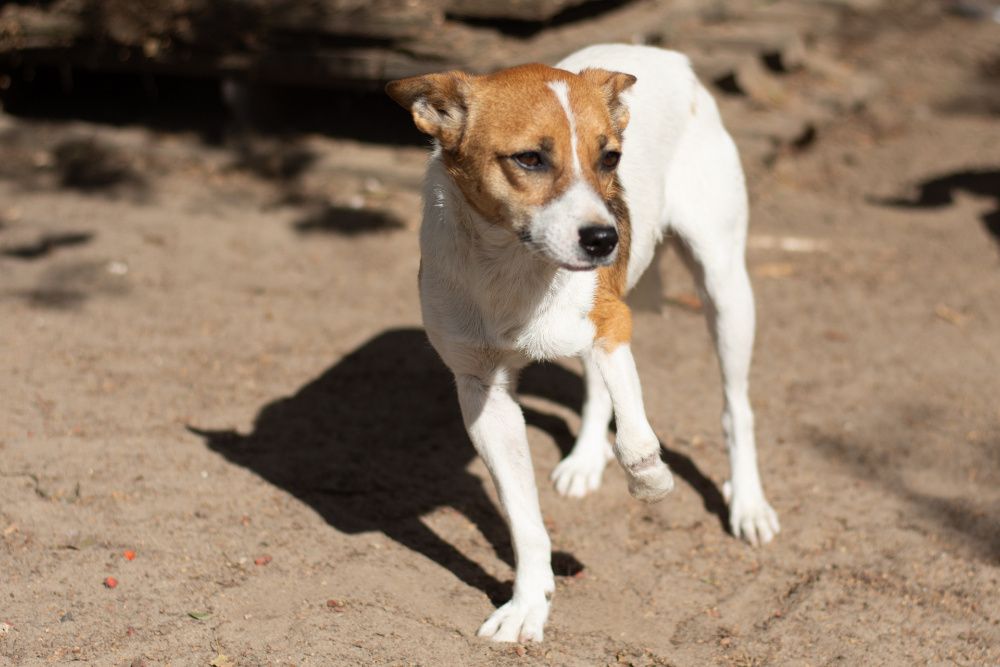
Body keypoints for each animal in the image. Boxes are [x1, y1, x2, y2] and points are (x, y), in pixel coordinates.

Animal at [386, 44, 776, 644]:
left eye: (610, 158)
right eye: (529, 159)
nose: (604, 240)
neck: (513, 266)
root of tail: (664, 53)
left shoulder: (614, 323)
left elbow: (637, 437)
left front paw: (652, 480)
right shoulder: (481, 391)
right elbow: (523, 518)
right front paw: (528, 604)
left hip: (725, 288)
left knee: (737, 407)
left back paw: (748, 504)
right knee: (596, 391)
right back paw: (585, 460)